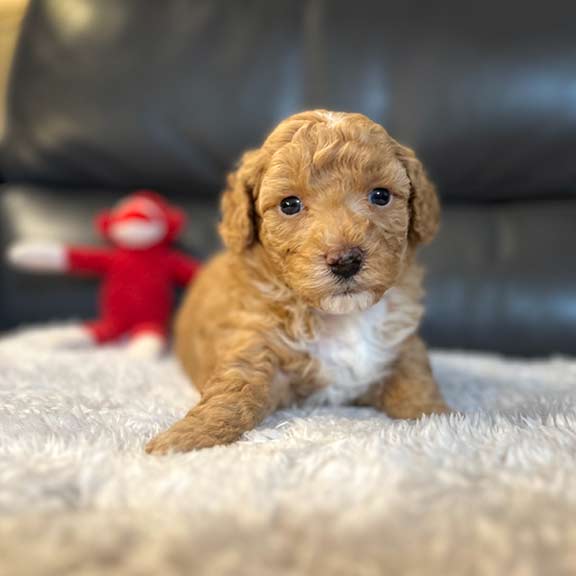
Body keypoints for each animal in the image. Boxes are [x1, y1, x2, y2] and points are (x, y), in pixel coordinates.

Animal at [145, 110, 450, 456]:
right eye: (289, 204)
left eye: (381, 195)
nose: (345, 260)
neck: (342, 316)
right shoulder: (254, 343)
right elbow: (235, 393)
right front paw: (187, 438)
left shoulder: (400, 349)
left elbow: (418, 387)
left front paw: (440, 421)